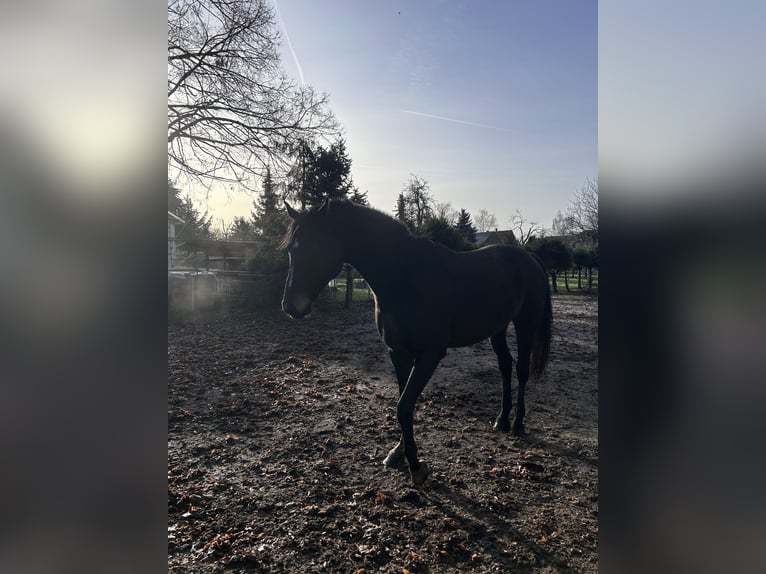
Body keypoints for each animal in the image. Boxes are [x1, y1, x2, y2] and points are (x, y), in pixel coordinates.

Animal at [281, 198, 552, 486]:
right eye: (290, 249)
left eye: (315, 246)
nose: (291, 306)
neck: (404, 277)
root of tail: (529, 258)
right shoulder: (398, 352)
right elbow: (403, 403)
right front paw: (398, 453)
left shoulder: (430, 354)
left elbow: (403, 406)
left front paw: (416, 466)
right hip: (497, 329)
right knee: (505, 365)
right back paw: (501, 419)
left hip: (525, 323)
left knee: (521, 368)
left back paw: (518, 423)